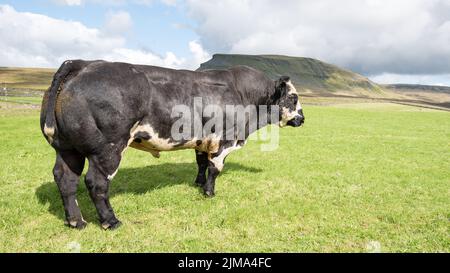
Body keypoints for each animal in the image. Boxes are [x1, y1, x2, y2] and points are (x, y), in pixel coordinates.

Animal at [40, 60, 304, 228]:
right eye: (293, 97)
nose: (302, 118)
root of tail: (83, 63)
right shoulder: (225, 140)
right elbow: (215, 168)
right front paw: (209, 192)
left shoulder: (202, 140)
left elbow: (201, 164)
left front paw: (198, 184)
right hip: (107, 149)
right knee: (96, 183)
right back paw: (110, 221)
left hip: (67, 149)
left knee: (65, 179)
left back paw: (76, 221)